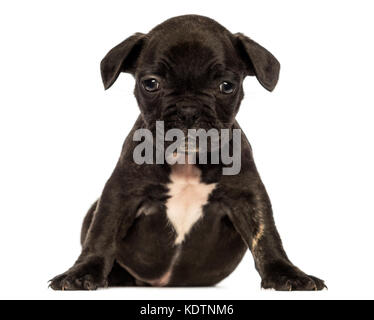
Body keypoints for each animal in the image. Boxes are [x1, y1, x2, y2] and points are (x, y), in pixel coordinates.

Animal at [49, 14, 324, 290]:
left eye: (226, 86)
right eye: (151, 84)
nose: (188, 110)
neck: (187, 161)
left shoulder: (247, 196)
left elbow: (266, 237)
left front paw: (286, 273)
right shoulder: (120, 193)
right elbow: (102, 234)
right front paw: (82, 273)